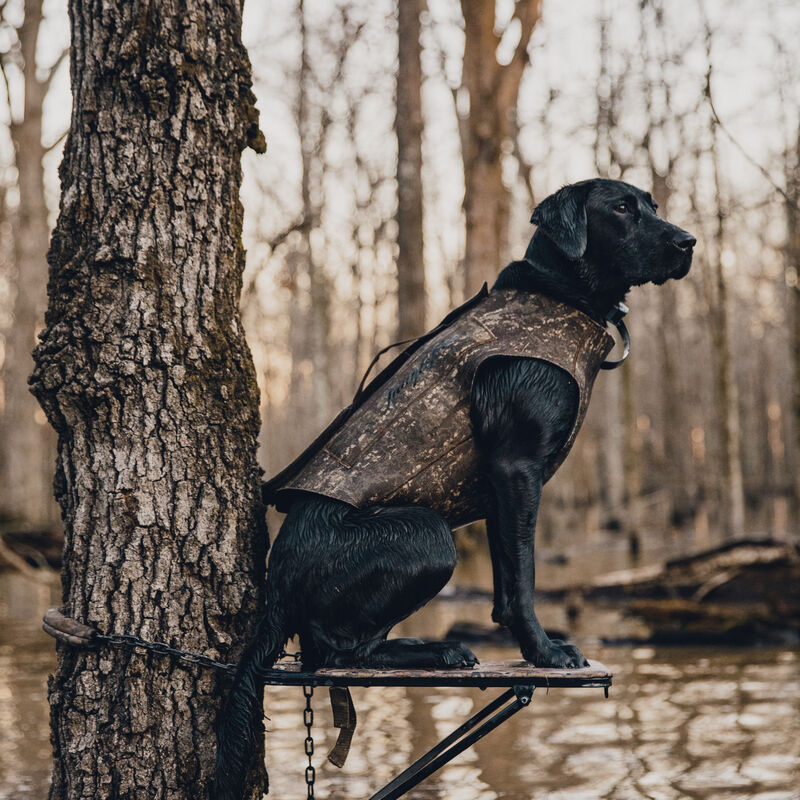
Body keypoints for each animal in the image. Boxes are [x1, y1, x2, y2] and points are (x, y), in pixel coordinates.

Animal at [212, 178, 692, 796]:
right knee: (332, 652)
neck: (558, 293)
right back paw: (435, 652)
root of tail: (275, 587)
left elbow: (507, 578)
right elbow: (525, 578)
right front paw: (545, 652)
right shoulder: (517, 466)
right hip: (430, 535)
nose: (688, 242)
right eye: (622, 208)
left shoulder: (499, 488)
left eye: (651, 203)